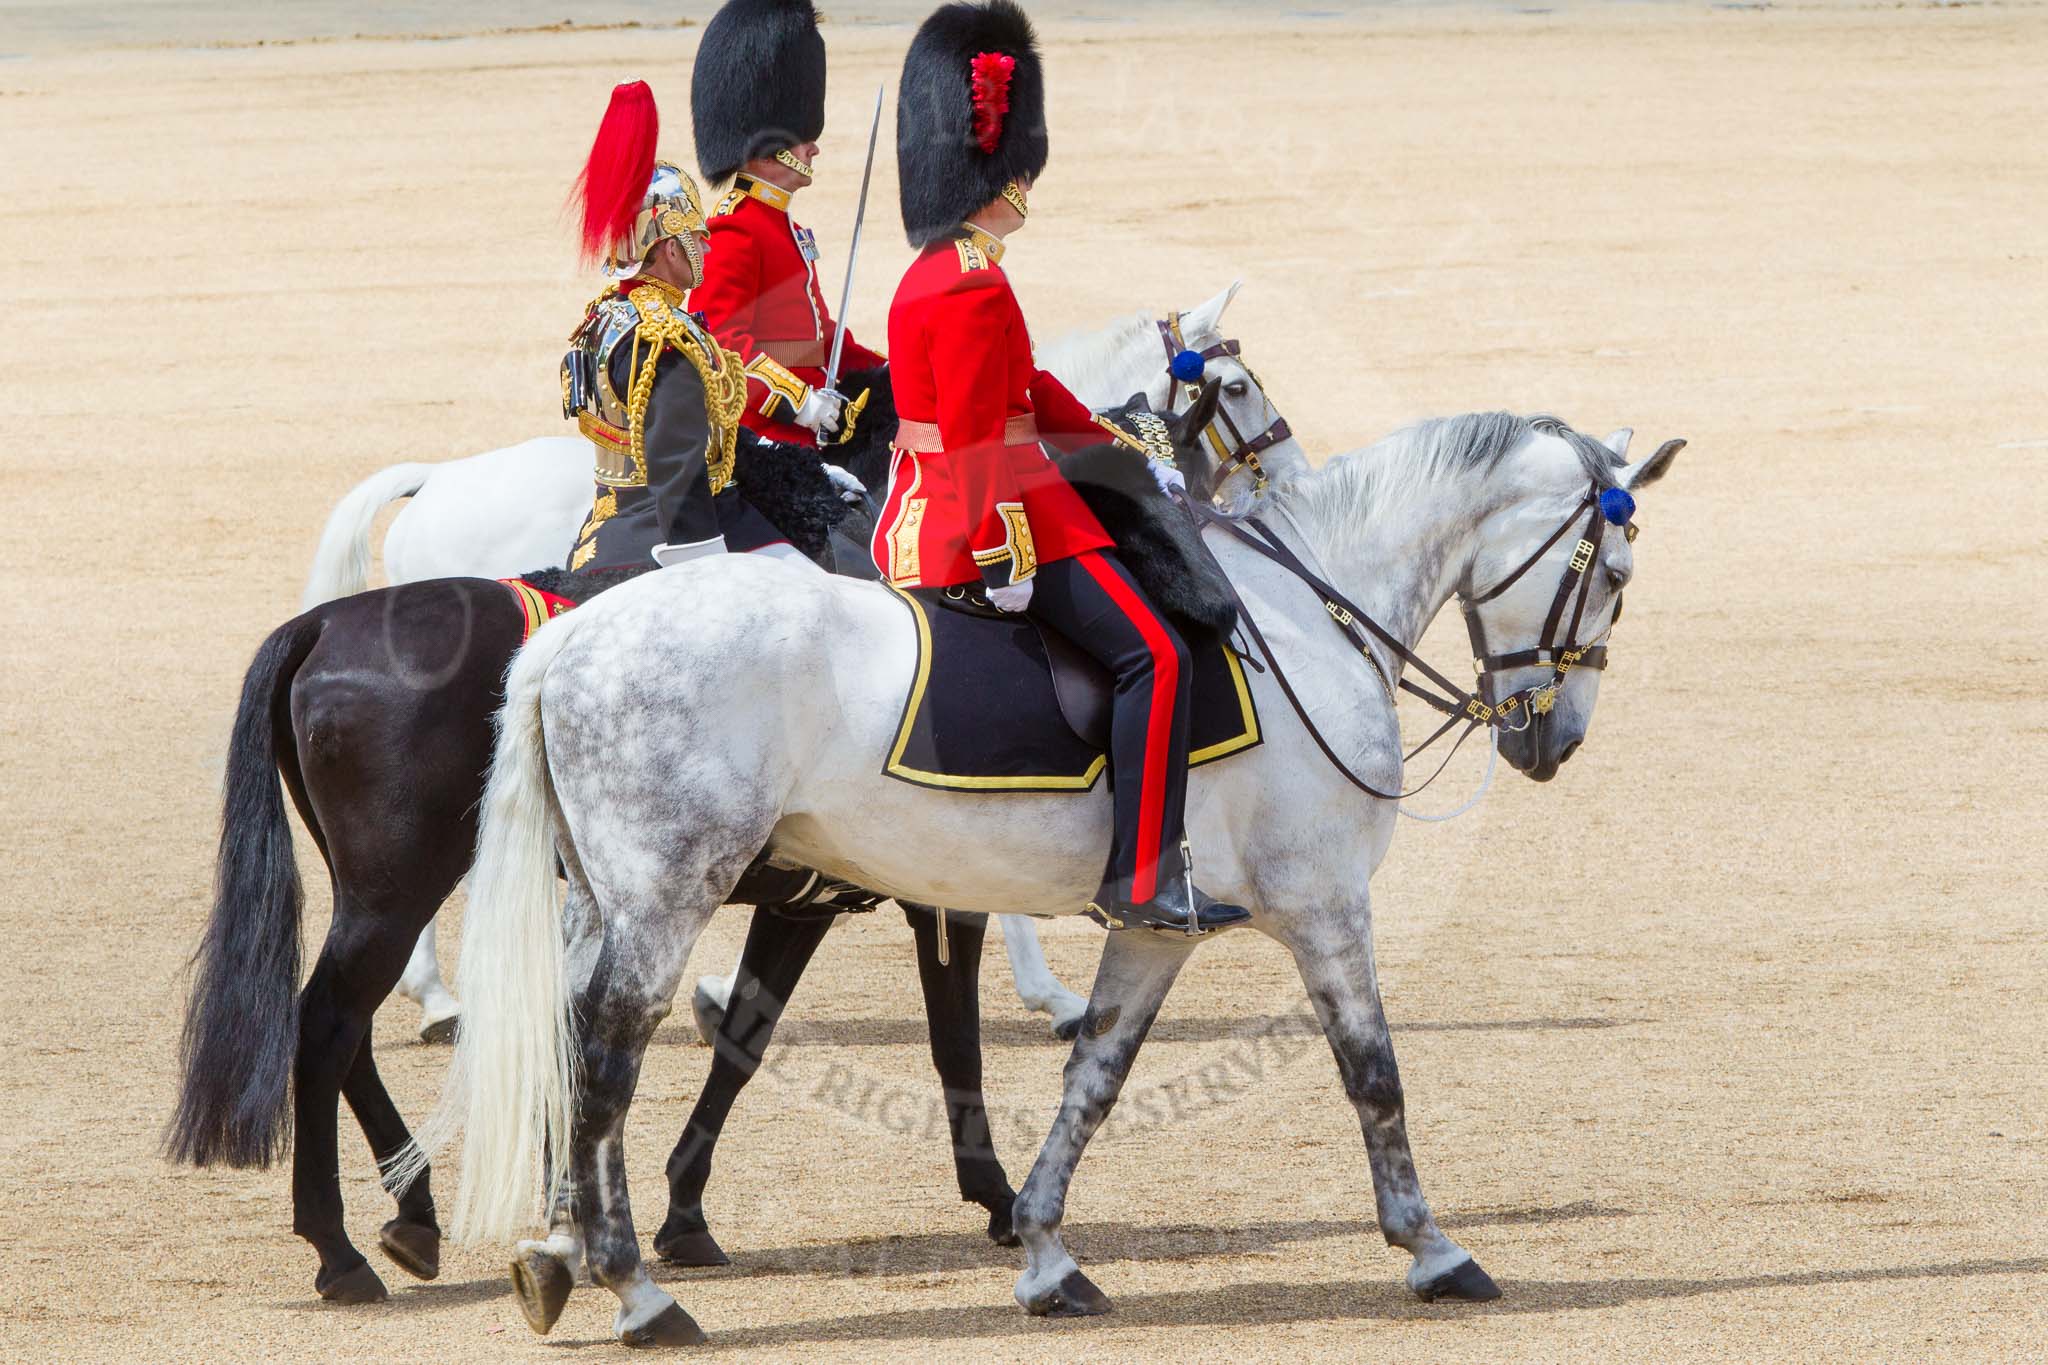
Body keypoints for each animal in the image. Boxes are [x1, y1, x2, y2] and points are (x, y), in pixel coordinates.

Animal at [395, 397, 1679, 1342]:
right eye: (1613, 576)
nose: (1552, 740)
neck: (1301, 621)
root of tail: (573, 628)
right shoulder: (1324, 907)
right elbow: (1374, 1076)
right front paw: (1432, 1247)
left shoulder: (1154, 926)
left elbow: (1092, 1082)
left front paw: (1046, 1253)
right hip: (668, 895)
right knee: (607, 1052)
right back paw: (634, 1289)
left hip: (609, 899)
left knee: (564, 1039)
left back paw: (556, 1253)